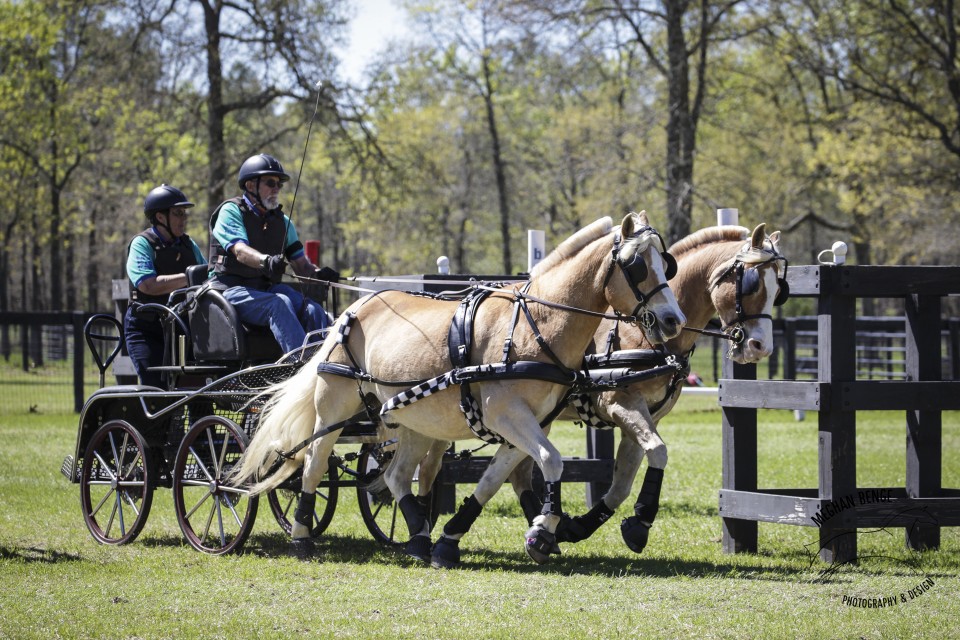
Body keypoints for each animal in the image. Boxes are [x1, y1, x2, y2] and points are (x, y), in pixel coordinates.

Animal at [229, 211, 688, 560]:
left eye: (667, 263)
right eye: (638, 265)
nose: (673, 321)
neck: (537, 325)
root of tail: (354, 308)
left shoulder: (525, 423)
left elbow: (494, 479)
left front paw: (450, 539)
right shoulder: (508, 414)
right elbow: (552, 461)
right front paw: (544, 529)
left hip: (411, 419)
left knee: (396, 476)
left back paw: (418, 537)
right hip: (334, 407)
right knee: (313, 462)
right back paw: (302, 537)